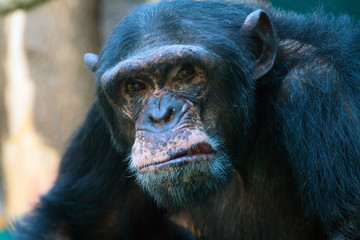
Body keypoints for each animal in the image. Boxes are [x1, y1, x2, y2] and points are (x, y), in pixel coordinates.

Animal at [11, 0, 360, 239]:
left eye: (185, 73)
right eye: (134, 86)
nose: (160, 116)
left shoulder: (321, 85)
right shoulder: (102, 118)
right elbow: (76, 224)